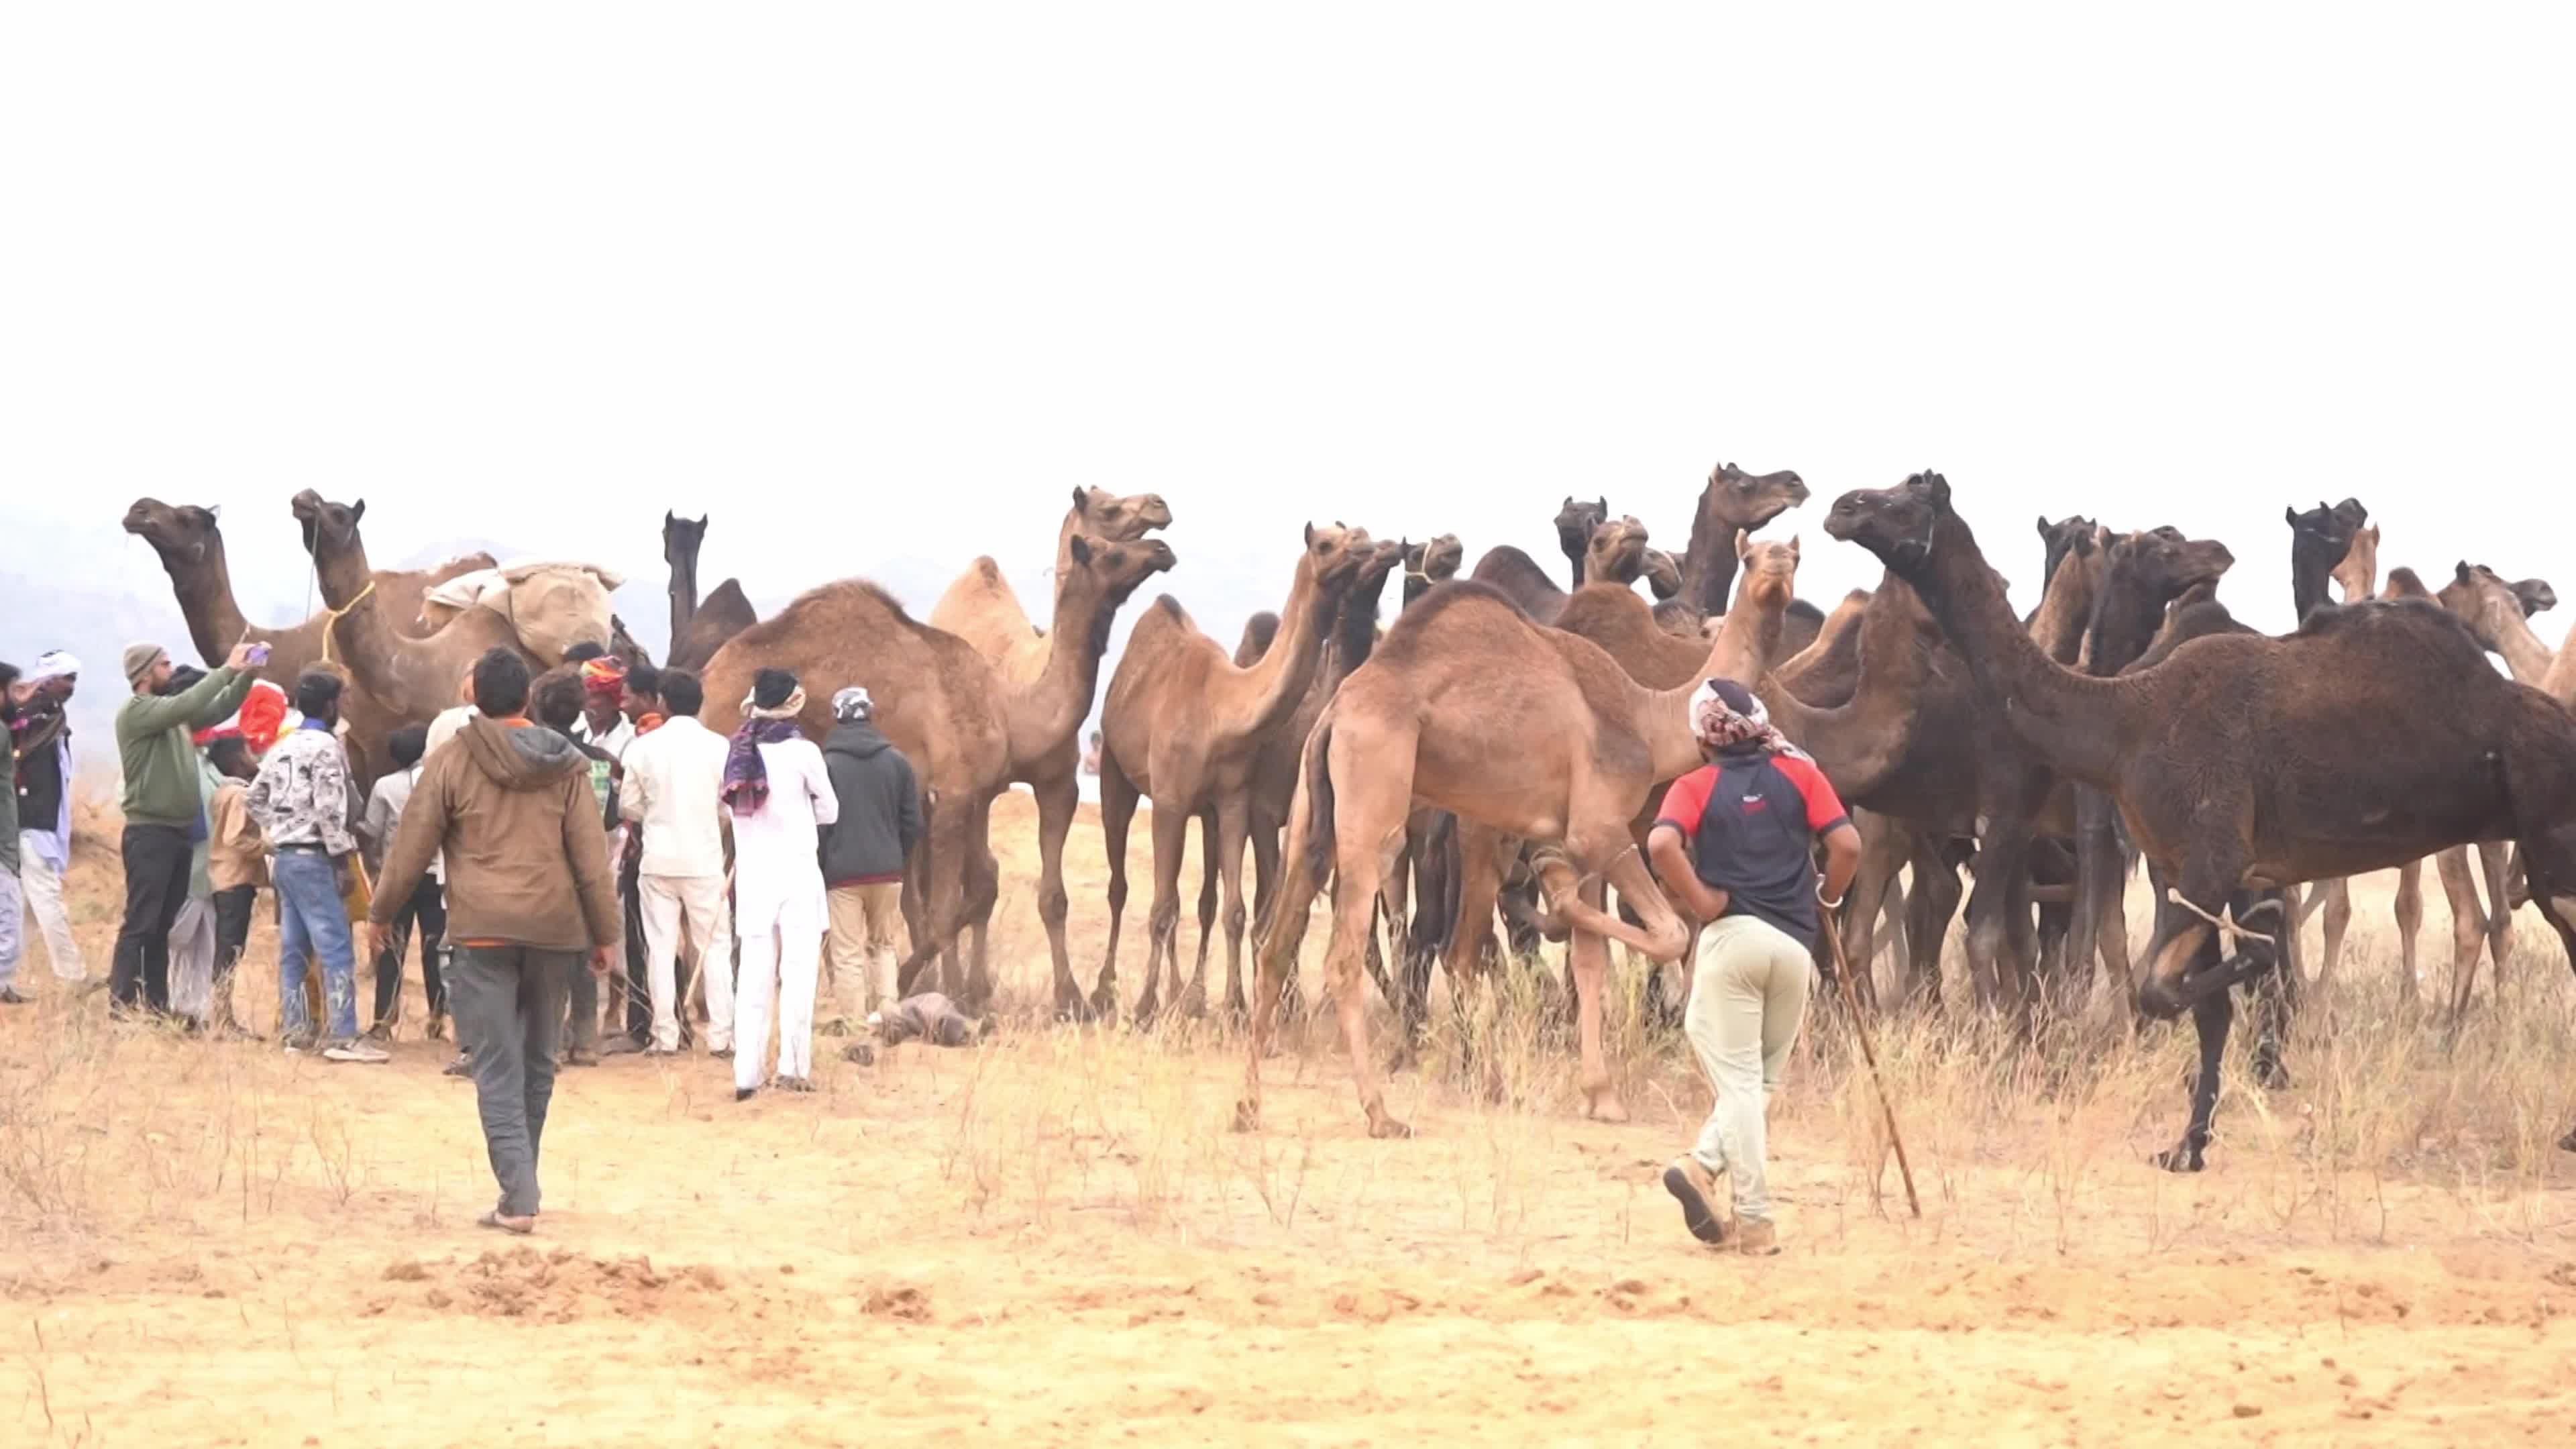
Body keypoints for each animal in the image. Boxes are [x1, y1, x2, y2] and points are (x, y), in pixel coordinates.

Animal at [1096, 523, 1377, 1022]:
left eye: (1352, 531)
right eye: (1325, 543)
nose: (1365, 541)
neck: (1220, 709)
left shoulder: (1232, 802)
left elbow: (1234, 910)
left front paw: (1235, 1007)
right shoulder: (1169, 801)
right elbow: (1162, 907)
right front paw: (1146, 1007)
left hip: (1202, 812)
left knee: (1197, 901)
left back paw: (1182, 997)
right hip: (1114, 771)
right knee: (1120, 887)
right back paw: (1106, 993)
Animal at [1825, 471, 2576, 1169]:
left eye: (1905, 501)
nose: (1842, 507)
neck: (2125, 719)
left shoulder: (2213, 857)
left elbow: (2169, 987)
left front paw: (2254, 985)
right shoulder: (2181, 866)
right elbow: (2203, 1009)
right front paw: (2187, 1147)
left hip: (2550, 841)